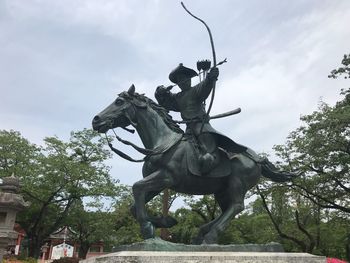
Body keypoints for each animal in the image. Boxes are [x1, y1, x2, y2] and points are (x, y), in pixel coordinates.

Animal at [91, 85, 292, 244]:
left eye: (118, 101)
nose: (95, 120)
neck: (163, 142)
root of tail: (257, 158)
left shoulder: (166, 178)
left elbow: (137, 187)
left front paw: (148, 227)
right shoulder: (158, 183)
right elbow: (134, 203)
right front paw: (164, 222)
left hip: (237, 183)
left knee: (237, 206)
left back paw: (210, 235)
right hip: (221, 190)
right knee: (227, 209)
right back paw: (201, 233)